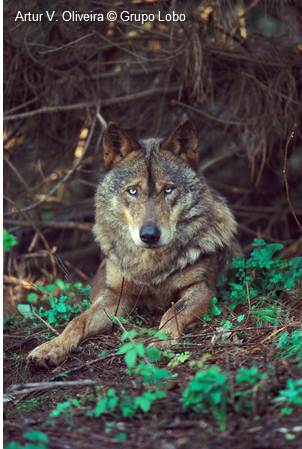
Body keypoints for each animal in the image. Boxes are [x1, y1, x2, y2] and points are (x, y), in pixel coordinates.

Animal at [28, 120, 241, 368]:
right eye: (132, 191)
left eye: (168, 189)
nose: (149, 235)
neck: (150, 266)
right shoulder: (117, 296)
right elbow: (77, 321)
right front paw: (51, 347)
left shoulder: (202, 289)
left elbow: (172, 312)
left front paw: (161, 340)